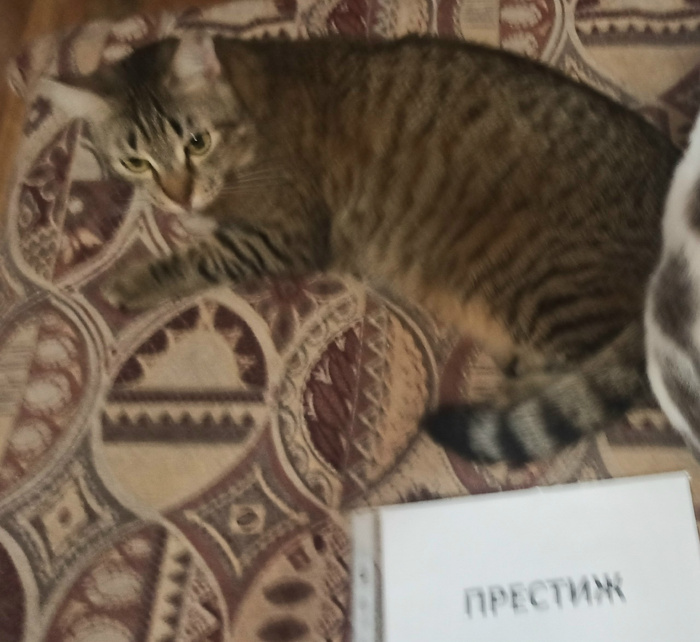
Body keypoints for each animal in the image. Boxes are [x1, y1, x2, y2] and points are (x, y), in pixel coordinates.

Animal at [48, 31, 680, 463]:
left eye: (196, 142)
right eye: (136, 161)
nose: (178, 196)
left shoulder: (287, 236)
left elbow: (204, 256)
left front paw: (136, 279)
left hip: (553, 290)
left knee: (587, 382)